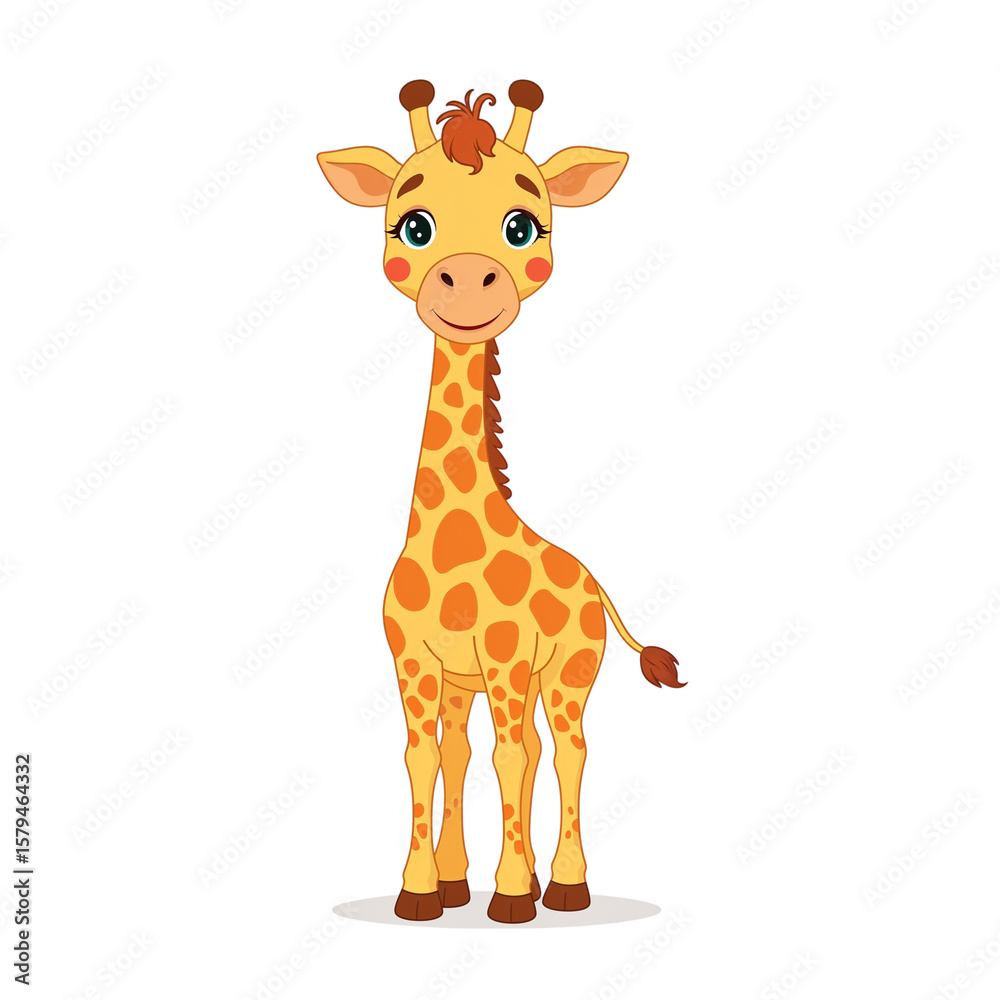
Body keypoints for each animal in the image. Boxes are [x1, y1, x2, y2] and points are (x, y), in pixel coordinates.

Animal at [318, 80, 685, 924]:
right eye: (413, 225)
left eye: (523, 226)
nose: (465, 278)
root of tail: (594, 582)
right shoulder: (419, 662)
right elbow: (426, 756)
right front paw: (425, 891)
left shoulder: (510, 659)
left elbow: (510, 757)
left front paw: (514, 896)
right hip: (483, 683)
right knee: (492, 749)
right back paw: (477, 880)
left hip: (571, 672)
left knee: (567, 750)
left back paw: (568, 887)